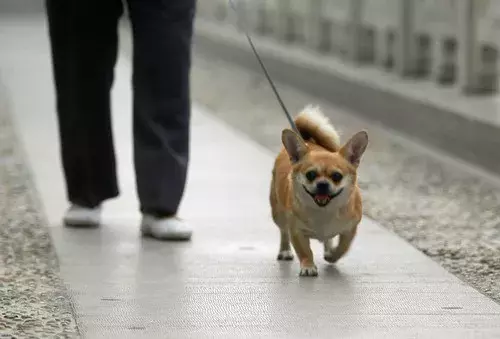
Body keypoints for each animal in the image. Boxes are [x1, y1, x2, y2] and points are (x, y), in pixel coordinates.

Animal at [270, 107, 368, 278]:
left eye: (337, 176)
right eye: (310, 175)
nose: (322, 184)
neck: (324, 211)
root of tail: (308, 140)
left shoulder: (350, 229)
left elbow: (344, 246)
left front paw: (333, 255)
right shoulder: (297, 231)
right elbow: (305, 251)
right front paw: (308, 266)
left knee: (328, 240)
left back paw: (329, 250)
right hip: (278, 215)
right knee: (283, 232)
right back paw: (285, 250)